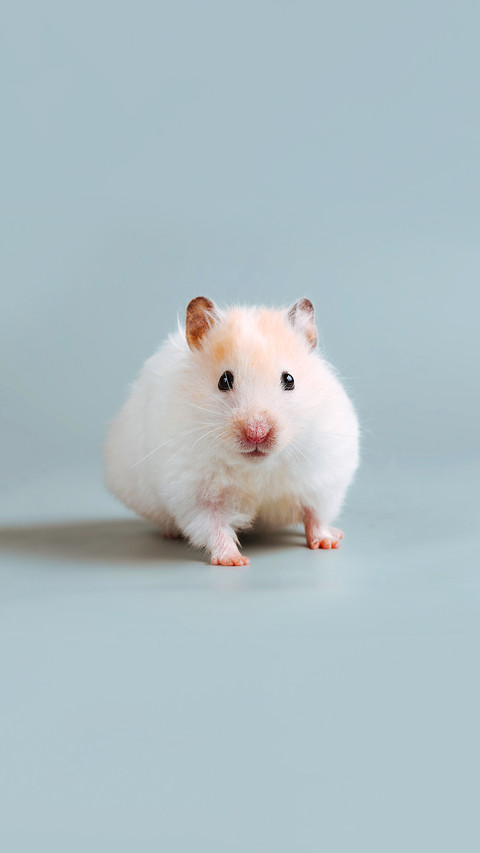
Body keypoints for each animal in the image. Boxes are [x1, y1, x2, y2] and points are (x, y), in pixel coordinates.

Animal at [104, 297, 359, 566]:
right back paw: (171, 533)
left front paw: (327, 544)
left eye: (289, 380)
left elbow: (316, 514)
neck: (256, 467)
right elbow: (214, 526)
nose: (257, 433)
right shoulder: (197, 493)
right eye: (224, 380)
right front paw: (234, 560)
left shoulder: (322, 477)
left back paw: (337, 534)